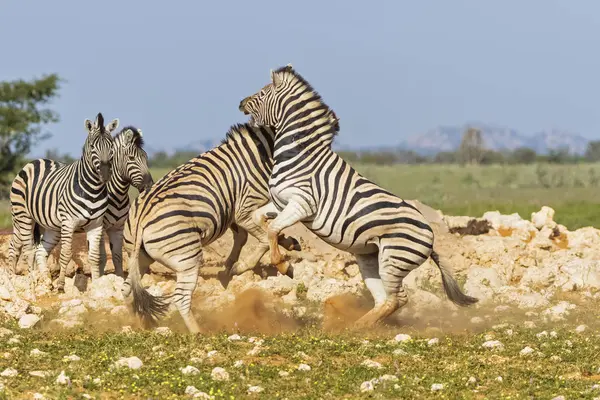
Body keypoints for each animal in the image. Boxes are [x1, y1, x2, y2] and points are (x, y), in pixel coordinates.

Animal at [8, 111, 118, 292]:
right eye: (92, 147)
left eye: (111, 147)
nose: (105, 174)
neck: (93, 190)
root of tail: (34, 161)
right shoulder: (69, 222)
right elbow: (66, 254)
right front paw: (60, 285)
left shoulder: (96, 224)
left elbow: (95, 256)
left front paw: (97, 284)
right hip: (22, 217)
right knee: (26, 249)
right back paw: (30, 281)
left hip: (48, 225)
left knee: (34, 250)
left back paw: (40, 280)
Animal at [31, 126, 155, 282]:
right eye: (131, 158)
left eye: (146, 157)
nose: (149, 186)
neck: (117, 195)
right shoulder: (100, 226)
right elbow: (101, 257)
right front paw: (99, 279)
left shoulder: (117, 227)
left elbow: (117, 256)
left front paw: (118, 279)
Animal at [239, 65, 478, 328]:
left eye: (262, 93)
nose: (241, 103)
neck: (300, 154)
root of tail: (432, 237)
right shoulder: (280, 202)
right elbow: (261, 220)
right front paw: (282, 246)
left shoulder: (303, 202)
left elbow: (272, 229)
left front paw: (283, 265)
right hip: (369, 259)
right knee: (383, 300)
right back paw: (355, 327)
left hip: (393, 259)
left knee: (397, 299)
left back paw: (355, 328)